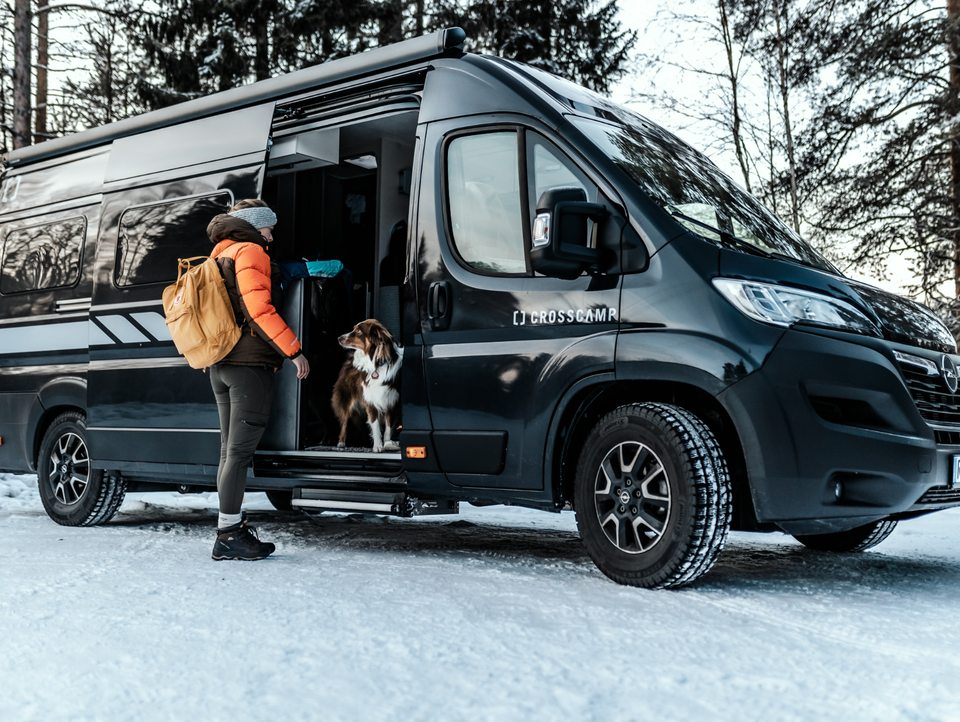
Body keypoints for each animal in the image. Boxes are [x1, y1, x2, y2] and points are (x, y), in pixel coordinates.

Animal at [334, 316, 402, 448]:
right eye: (354, 328)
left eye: (359, 331)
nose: (339, 338)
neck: (377, 364)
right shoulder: (371, 399)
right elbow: (374, 425)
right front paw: (377, 446)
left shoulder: (391, 401)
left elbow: (388, 428)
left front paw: (387, 444)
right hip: (346, 398)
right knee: (344, 421)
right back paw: (341, 443)